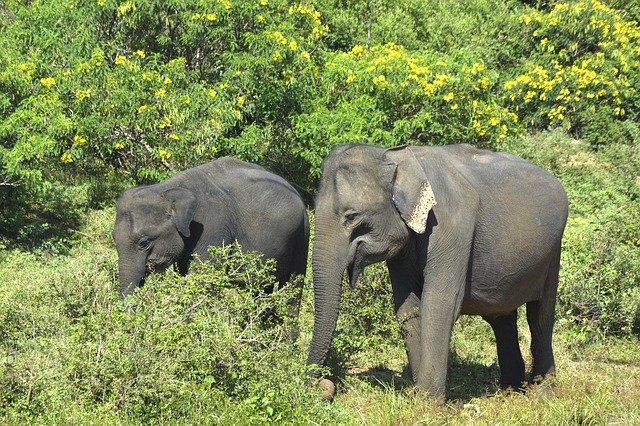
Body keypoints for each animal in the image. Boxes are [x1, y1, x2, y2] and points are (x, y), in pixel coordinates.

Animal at [113, 156, 310, 332]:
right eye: (114, 240)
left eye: (144, 243)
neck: (167, 188)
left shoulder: (212, 228)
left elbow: (199, 281)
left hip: (301, 236)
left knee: (292, 290)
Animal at [308, 144, 568, 400]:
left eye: (351, 216)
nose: (323, 384)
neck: (395, 156)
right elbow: (408, 308)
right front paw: (418, 396)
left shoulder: (449, 226)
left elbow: (439, 303)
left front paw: (430, 402)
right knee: (501, 317)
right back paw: (509, 390)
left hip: (552, 253)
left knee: (540, 315)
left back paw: (543, 392)